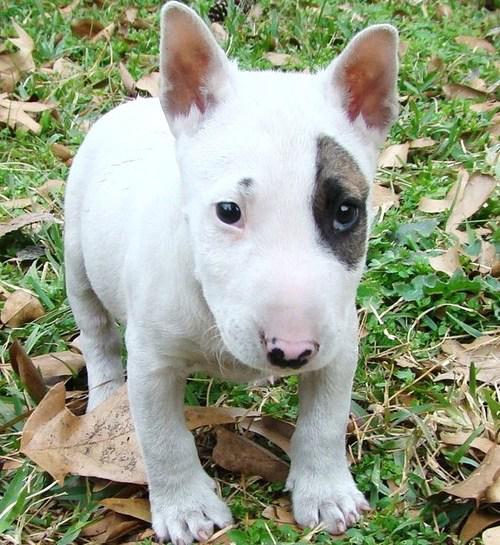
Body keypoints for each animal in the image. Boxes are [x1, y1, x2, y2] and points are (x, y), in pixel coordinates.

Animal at [64, 2, 398, 540]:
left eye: (346, 212)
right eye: (228, 211)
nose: (292, 351)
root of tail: (133, 107)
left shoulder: (339, 340)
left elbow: (324, 422)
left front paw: (326, 493)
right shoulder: (152, 360)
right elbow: (163, 439)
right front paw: (187, 509)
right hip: (76, 253)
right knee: (95, 330)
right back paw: (106, 396)